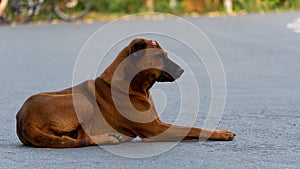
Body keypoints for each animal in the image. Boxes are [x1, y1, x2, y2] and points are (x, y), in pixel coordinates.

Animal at [16, 37, 236, 147]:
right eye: (159, 56)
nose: (182, 70)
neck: (136, 87)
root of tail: (23, 121)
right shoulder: (155, 129)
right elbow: (193, 128)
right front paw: (220, 133)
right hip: (81, 102)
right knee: (85, 138)